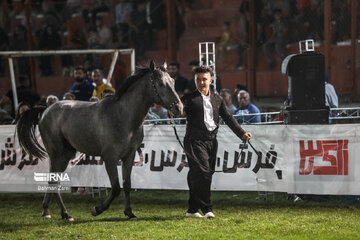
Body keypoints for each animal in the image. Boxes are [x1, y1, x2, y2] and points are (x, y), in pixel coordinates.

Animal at [16, 61, 183, 221]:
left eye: (173, 82)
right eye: (160, 83)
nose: (179, 108)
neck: (123, 116)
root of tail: (45, 110)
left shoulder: (129, 156)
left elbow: (126, 185)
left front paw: (130, 213)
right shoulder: (109, 158)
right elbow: (115, 187)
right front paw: (97, 209)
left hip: (65, 155)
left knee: (52, 180)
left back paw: (48, 211)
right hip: (58, 154)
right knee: (54, 181)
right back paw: (65, 214)